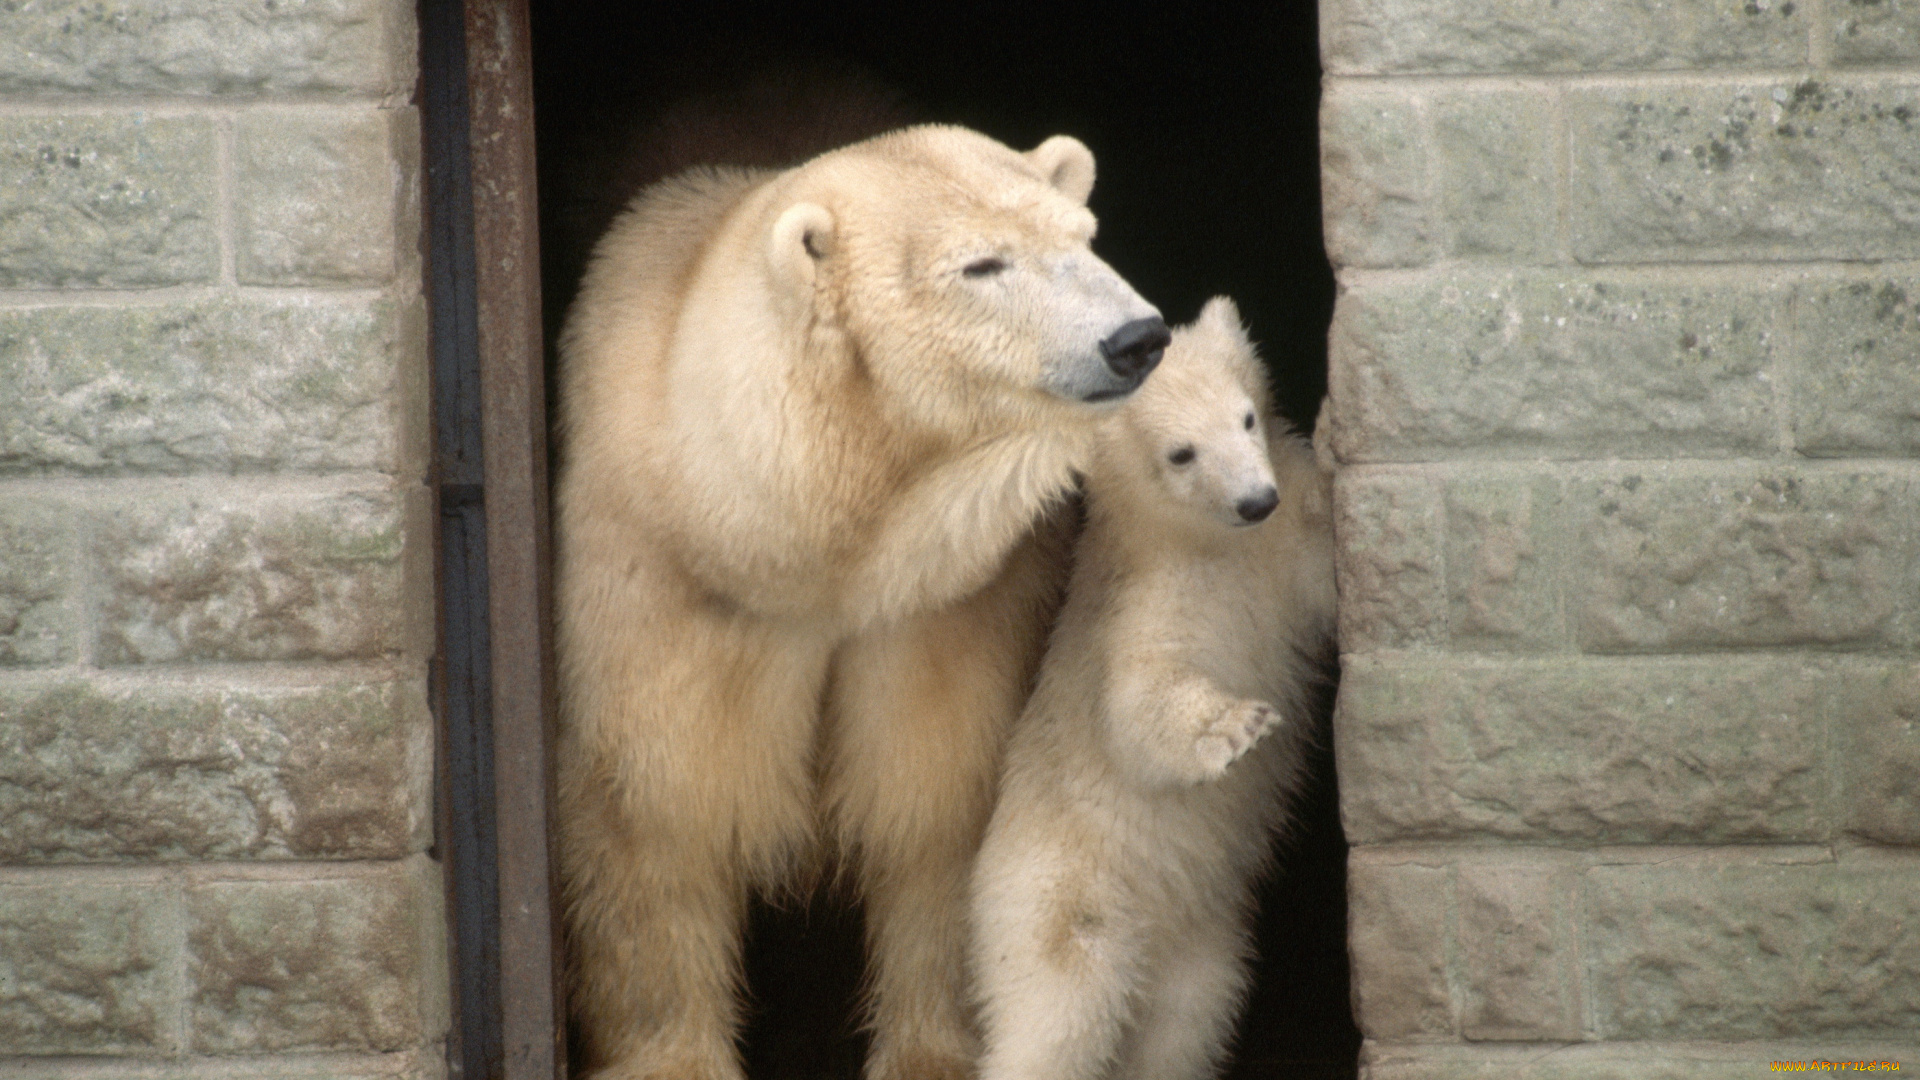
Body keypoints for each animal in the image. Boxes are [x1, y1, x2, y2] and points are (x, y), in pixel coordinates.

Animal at [549, 125, 1159, 1076]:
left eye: (1084, 236)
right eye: (982, 264)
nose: (1138, 337)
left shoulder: (944, 605)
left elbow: (932, 805)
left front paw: (931, 1054)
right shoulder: (656, 578)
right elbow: (660, 812)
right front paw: (674, 1058)